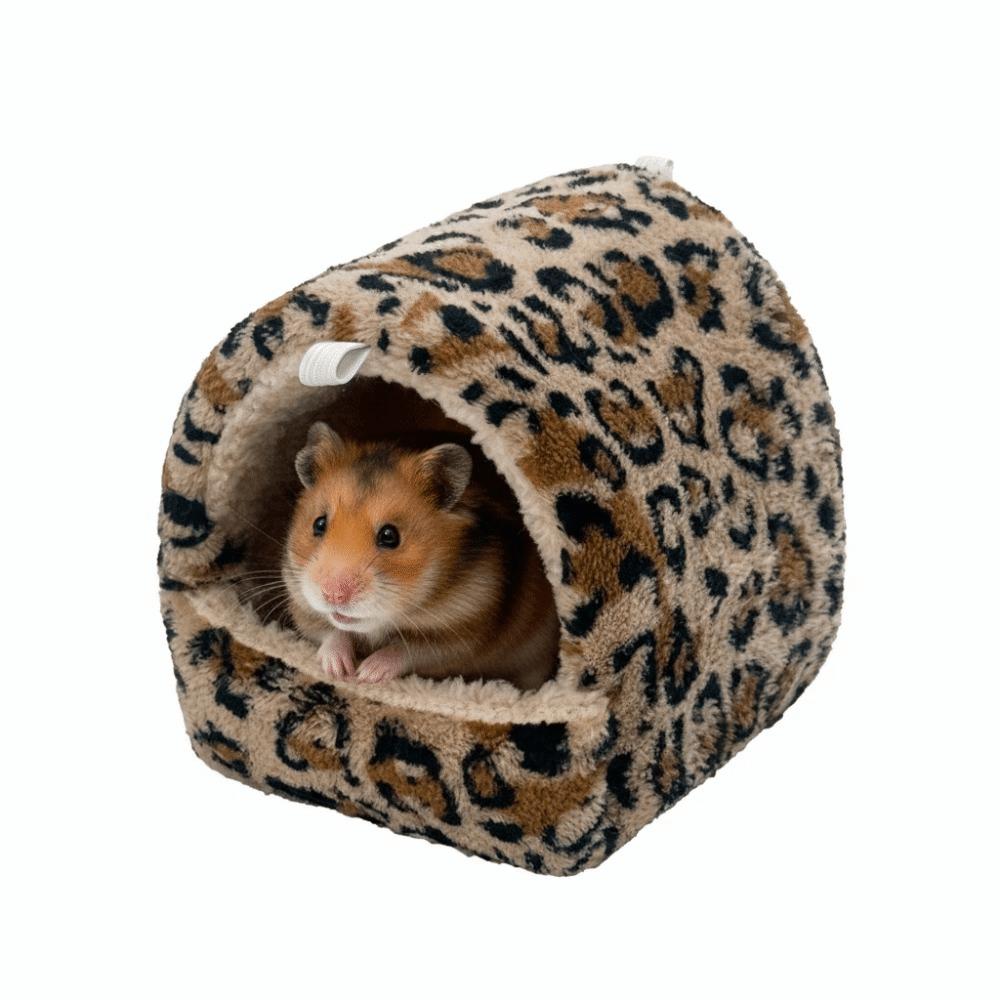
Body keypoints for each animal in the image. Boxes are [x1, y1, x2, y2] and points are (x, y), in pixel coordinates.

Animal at [283, 422, 559, 689]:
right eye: (319, 524)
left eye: (390, 536)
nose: (333, 595)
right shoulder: (302, 606)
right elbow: (331, 632)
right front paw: (338, 670)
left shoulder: (460, 635)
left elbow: (405, 650)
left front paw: (366, 674)